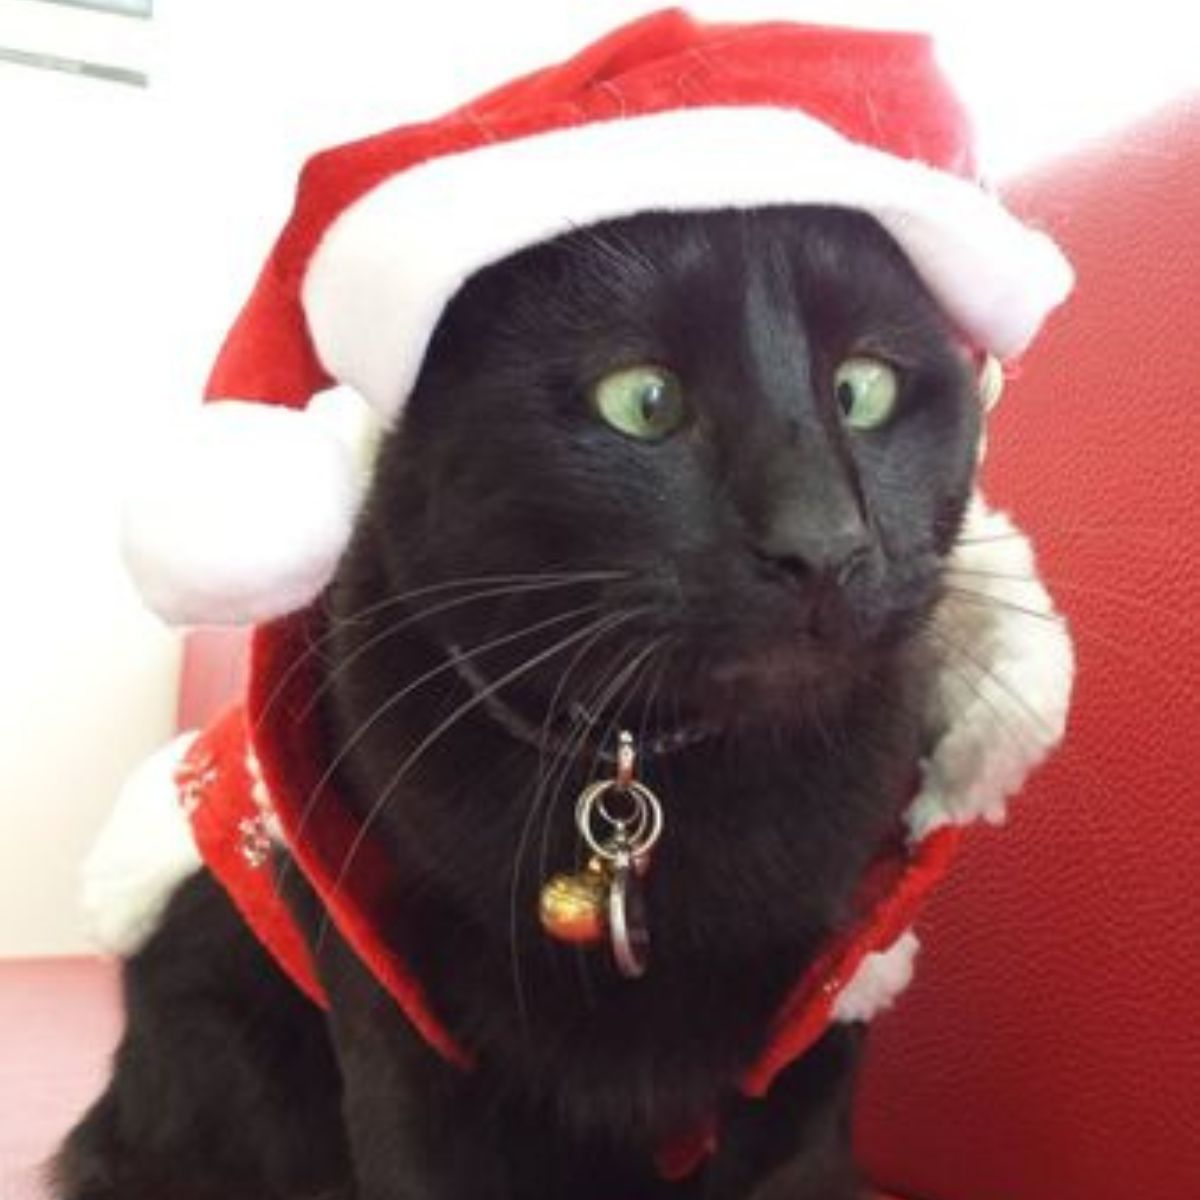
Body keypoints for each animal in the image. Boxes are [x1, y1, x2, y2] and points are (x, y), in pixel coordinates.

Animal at [56, 206, 984, 1200]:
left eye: (863, 389)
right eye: (644, 400)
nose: (824, 545)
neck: (644, 770)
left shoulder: (828, 997)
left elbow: (797, 1160)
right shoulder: (390, 997)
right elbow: (415, 1158)